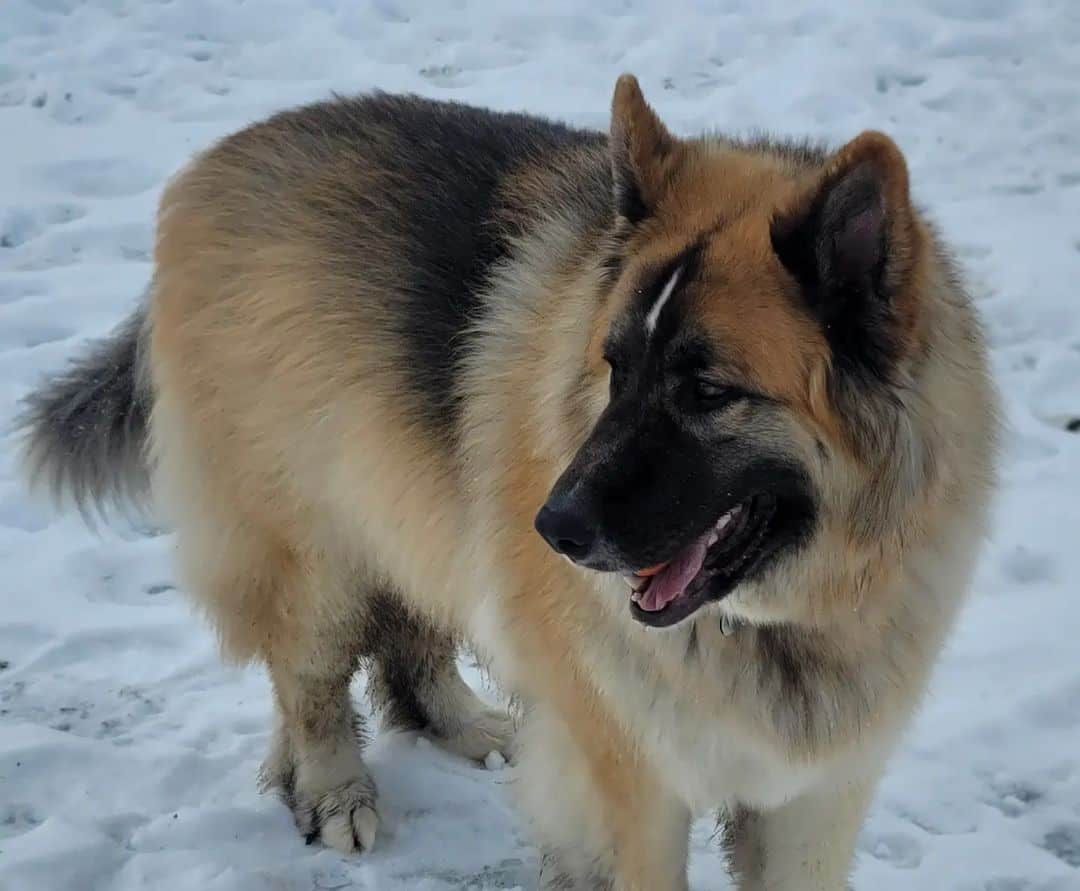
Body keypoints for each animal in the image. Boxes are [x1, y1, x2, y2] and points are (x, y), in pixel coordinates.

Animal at [19, 72, 993, 885]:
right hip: (313, 549)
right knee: (311, 679)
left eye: (710, 392)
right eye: (615, 367)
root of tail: (214, 163)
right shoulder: (631, 791)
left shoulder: (811, 802)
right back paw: (333, 788)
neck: (777, 624)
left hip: (409, 500)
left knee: (409, 632)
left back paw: (466, 723)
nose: (552, 527)